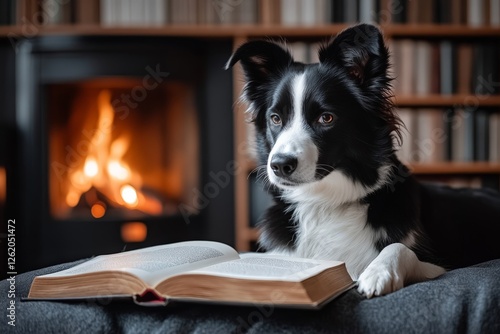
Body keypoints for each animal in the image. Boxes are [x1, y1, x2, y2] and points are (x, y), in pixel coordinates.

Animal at [227, 24, 500, 298]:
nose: (280, 165)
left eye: (326, 118)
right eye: (275, 118)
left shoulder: (436, 263)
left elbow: (400, 248)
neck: (324, 204)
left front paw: (378, 273)